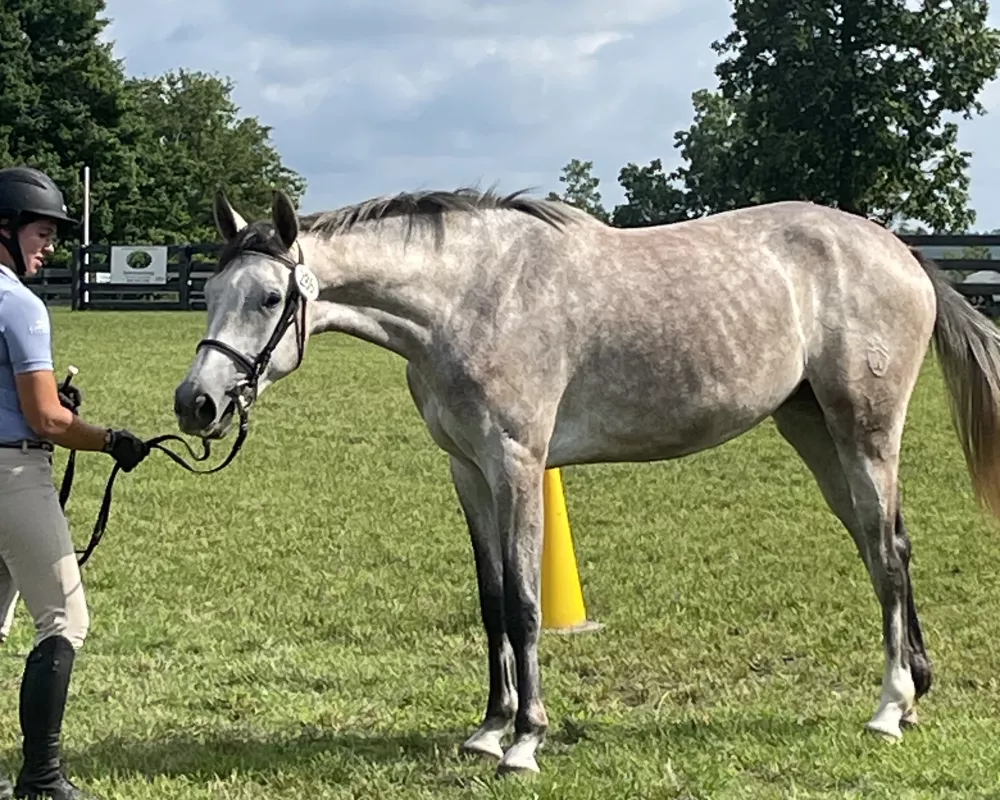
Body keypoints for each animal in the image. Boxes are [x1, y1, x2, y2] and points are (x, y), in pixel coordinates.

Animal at [176, 186, 1000, 776]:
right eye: (210, 294)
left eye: (269, 298)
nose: (197, 404)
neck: (470, 298)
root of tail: (901, 252)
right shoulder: (468, 471)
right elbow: (491, 603)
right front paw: (488, 727)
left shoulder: (516, 465)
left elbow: (525, 604)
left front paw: (524, 741)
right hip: (815, 432)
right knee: (885, 545)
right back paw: (913, 693)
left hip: (866, 432)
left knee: (886, 557)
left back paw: (889, 708)